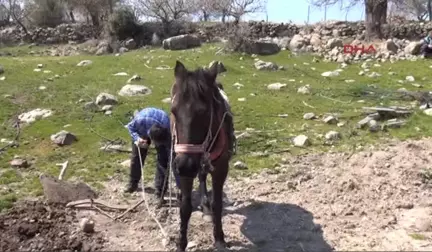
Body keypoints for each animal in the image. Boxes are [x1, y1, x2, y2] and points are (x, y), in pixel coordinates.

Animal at [170, 60, 235, 250]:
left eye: (205, 112)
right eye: (173, 111)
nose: (185, 165)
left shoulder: (221, 169)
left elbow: (217, 204)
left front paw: (219, 238)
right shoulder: (184, 170)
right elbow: (185, 208)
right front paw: (181, 243)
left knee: (202, 175)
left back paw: (205, 205)